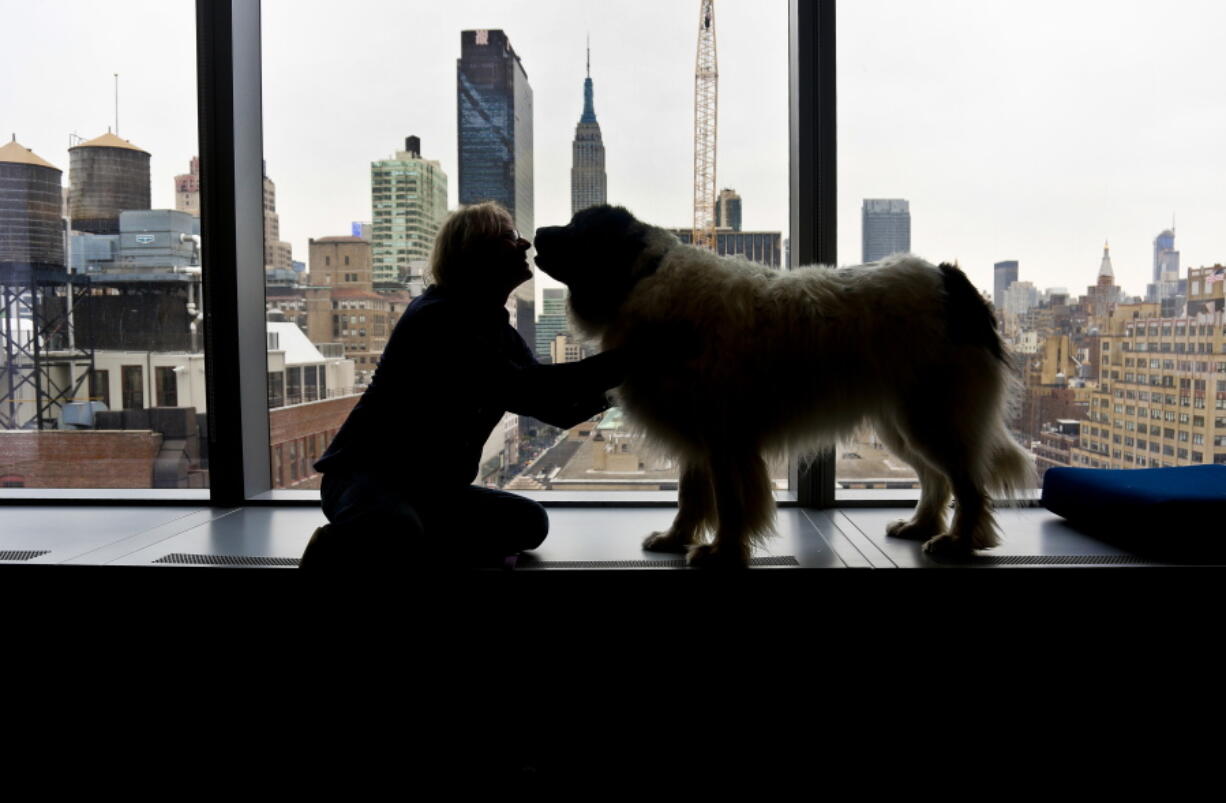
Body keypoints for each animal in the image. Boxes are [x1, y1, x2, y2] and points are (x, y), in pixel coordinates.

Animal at [532, 205, 1029, 566]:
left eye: (577, 227)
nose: (535, 231)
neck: (642, 274)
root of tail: (950, 278)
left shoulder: (724, 438)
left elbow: (729, 503)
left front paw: (723, 551)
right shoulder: (698, 431)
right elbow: (690, 496)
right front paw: (677, 538)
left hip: (934, 416)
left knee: (968, 484)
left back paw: (960, 541)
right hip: (902, 423)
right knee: (935, 479)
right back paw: (922, 526)